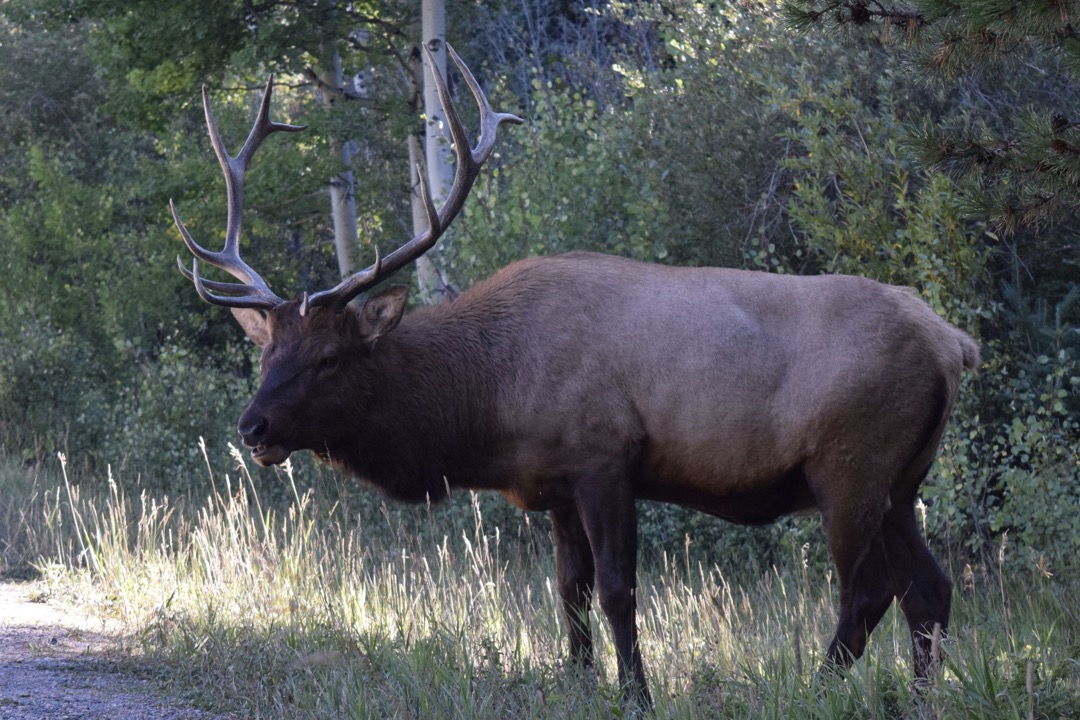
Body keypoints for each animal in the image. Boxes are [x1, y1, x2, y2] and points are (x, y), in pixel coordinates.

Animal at [168, 45, 980, 708]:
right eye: (269, 353)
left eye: (329, 357)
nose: (253, 427)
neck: (489, 402)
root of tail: (953, 343)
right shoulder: (554, 483)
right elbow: (569, 593)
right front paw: (578, 680)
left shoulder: (605, 458)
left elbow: (619, 591)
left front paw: (637, 694)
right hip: (902, 480)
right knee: (929, 589)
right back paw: (920, 700)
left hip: (849, 463)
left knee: (868, 592)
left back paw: (818, 689)